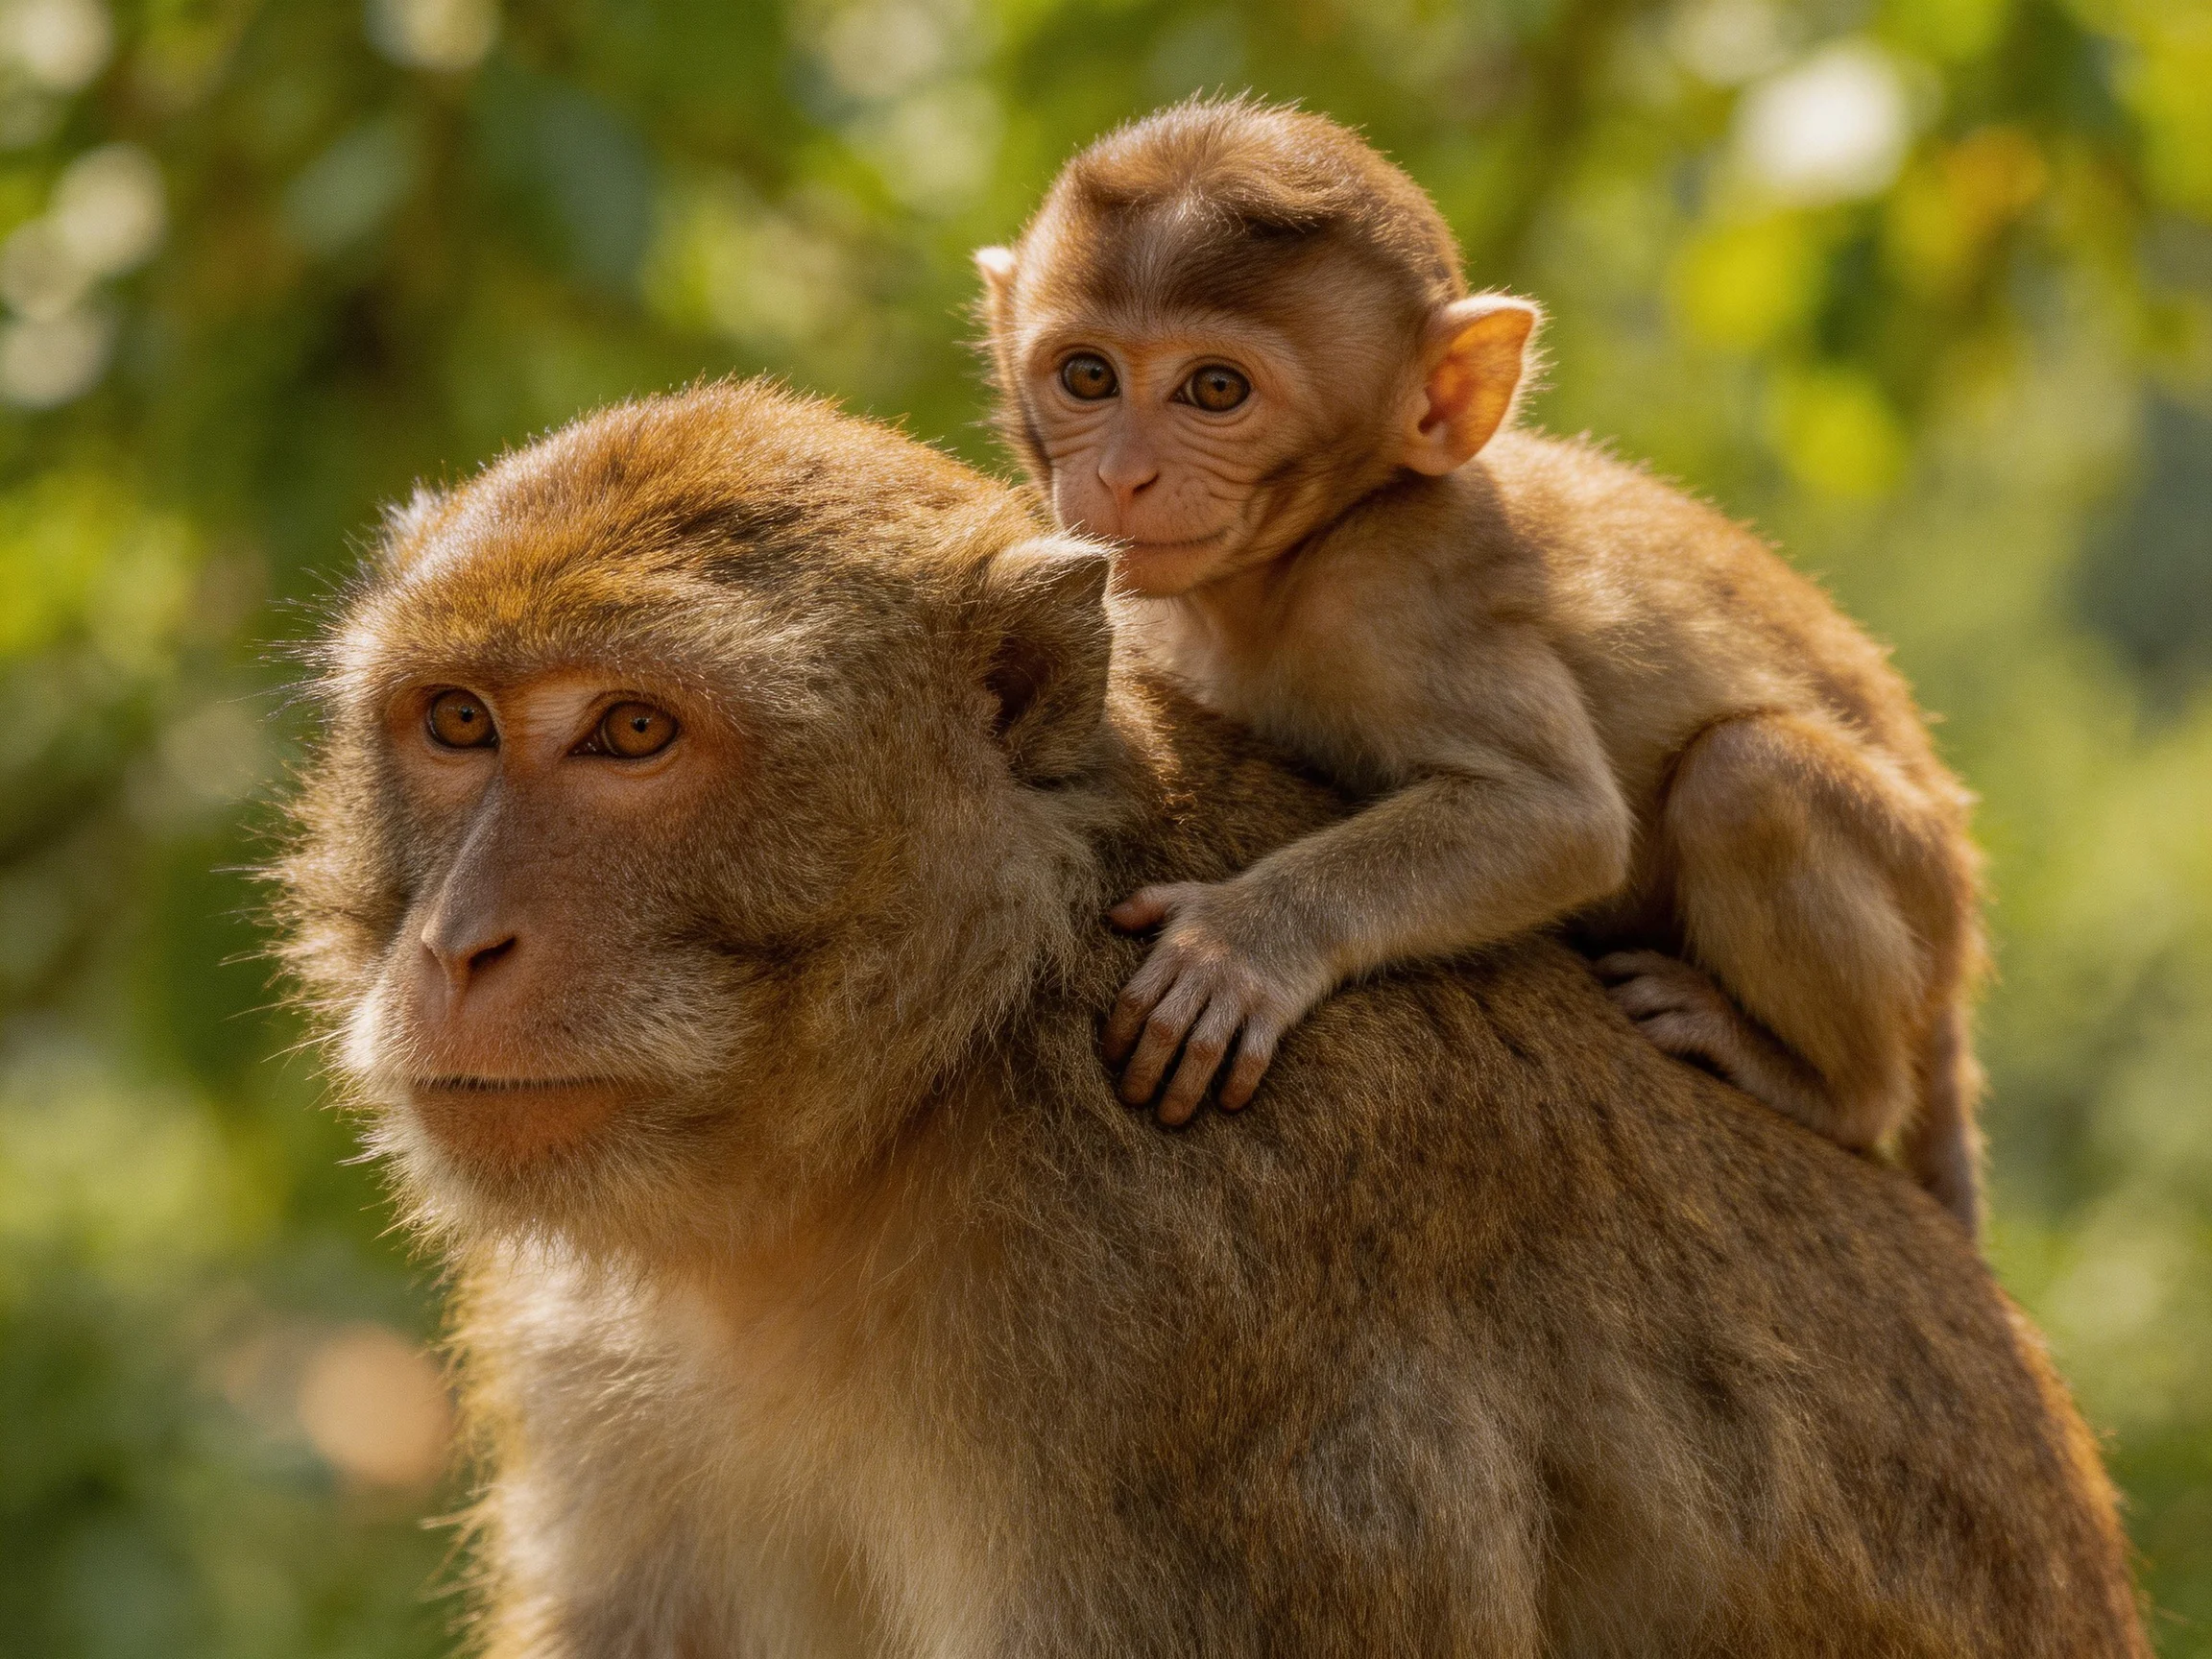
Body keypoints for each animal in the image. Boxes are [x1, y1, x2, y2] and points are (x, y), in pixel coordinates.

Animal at [974, 98, 1989, 1234]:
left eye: (1215, 389)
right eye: (1089, 376)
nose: (1122, 475)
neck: (1295, 557)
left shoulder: (1405, 592)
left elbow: (1560, 816)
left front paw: (1241, 944)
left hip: (1916, 890)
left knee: (1749, 777)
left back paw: (1824, 1085)